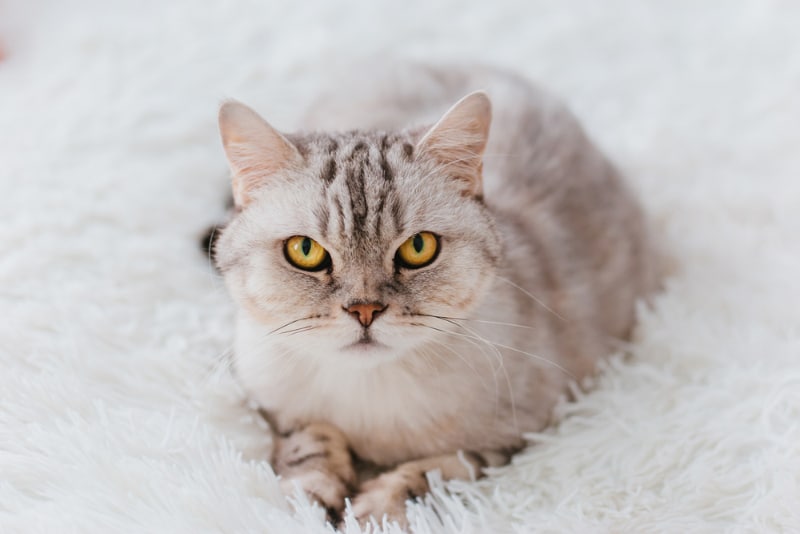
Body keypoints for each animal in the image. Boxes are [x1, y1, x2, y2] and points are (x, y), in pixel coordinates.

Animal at [209, 65, 660, 528]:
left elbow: (435, 473)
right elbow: (309, 441)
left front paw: (374, 512)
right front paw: (310, 501)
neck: (369, 395)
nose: (365, 310)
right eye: (305, 251)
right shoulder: (271, 401)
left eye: (418, 248)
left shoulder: (524, 432)